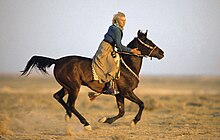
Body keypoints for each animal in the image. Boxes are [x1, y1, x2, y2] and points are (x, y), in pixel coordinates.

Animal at [21, 30, 164, 131]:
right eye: (148, 42)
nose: (162, 53)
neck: (126, 66)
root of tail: (57, 61)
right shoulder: (126, 92)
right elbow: (141, 104)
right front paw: (133, 122)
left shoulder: (119, 94)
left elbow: (122, 111)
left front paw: (105, 120)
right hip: (74, 87)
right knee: (71, 104)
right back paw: (86, 124)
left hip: (67, 87)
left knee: (58, 96)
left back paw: (68, 116)